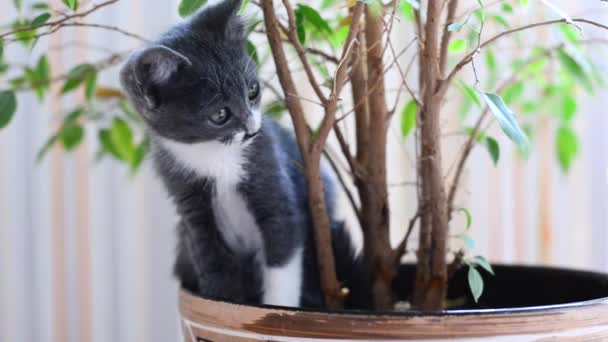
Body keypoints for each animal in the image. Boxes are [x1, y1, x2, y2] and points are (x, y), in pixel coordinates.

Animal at [117, 0, 368, 308]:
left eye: (253, 90)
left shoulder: (271, 173)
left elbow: (283, 254)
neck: (214, 155)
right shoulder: (191, 206)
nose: (251, 129)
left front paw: (276, 308)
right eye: (220, 115)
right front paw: (221, 299)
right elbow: (212, 262)